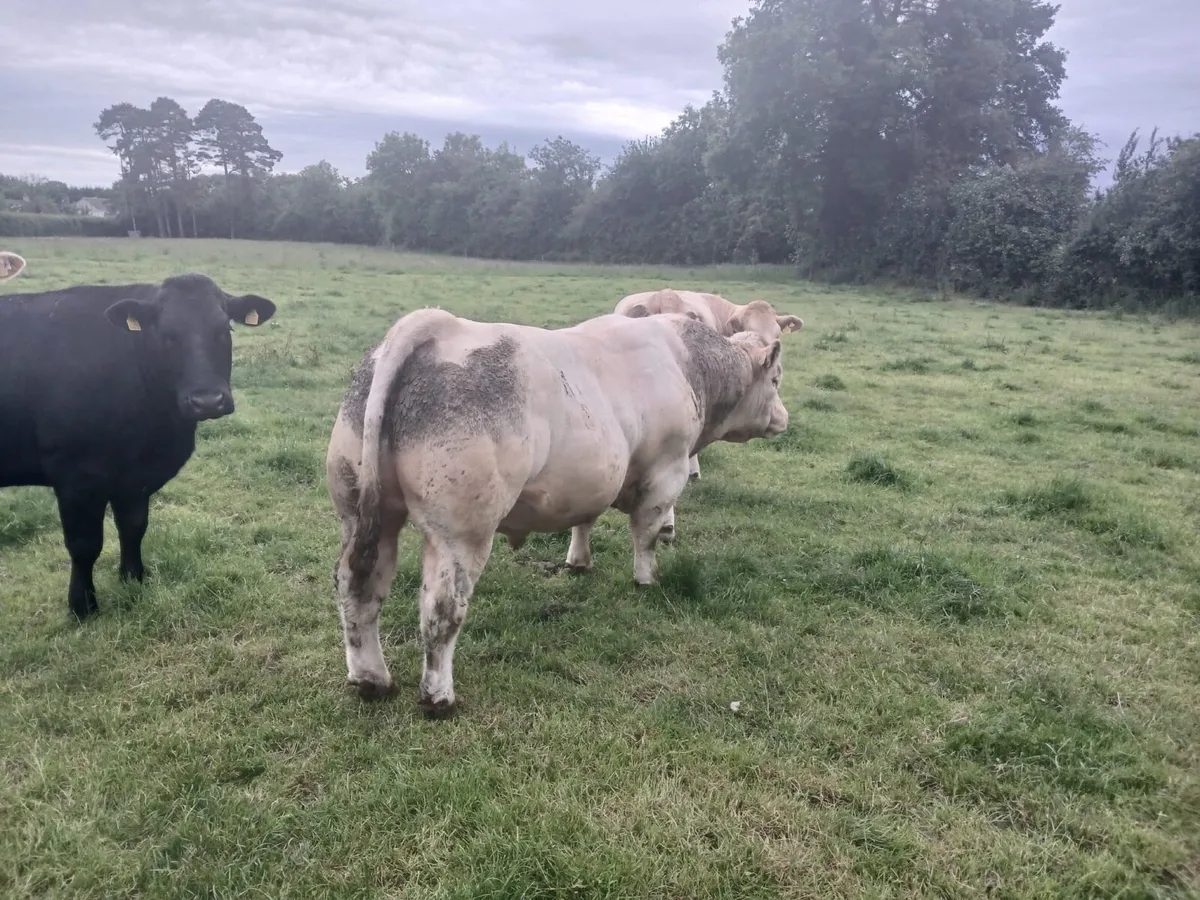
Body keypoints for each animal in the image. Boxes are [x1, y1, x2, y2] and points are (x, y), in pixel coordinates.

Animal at [0, 273, 277, 620]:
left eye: (224, 329)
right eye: (167, 336)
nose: (207, 401)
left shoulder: (134, 477)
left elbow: (133, 527)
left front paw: (133, 579)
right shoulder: (75, 477)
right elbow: (84, 544)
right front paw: (83, 606)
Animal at [327, 307, 789, 717]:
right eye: (776, 378)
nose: (784, 418)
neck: (687, 365)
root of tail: (438, 325)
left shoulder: (591, 478)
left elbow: (585, 518)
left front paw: (578, 561)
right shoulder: (665, 470)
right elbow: (646, 533)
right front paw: (646, 579)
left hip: (362, 513)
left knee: (358, 587)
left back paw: (372, 681)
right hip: (459, 532)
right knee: (441, 608)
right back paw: (439, 698)